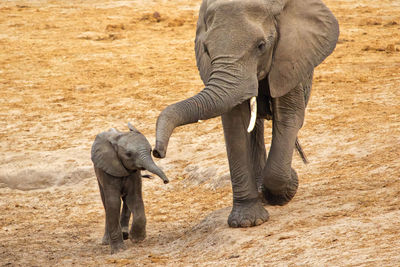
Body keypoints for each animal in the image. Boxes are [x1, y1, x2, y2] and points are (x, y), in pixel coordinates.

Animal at [91, 123, 169, 255]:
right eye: (128, 154)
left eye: (150, 151)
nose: (166, 181)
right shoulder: (108, 170)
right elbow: (113, 203)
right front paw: (118, 250)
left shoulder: (134, 174)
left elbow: (134, 198)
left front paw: (136, 239)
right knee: (106, 203)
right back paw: (107, 241)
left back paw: (125, 234)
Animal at [152, 0, 338, 228]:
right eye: (206, 49)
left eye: (261, 46)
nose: (157, 152)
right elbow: (235, 124)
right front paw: (247, 222)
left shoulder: (290, 57)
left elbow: (288, 116)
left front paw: (288, 186)